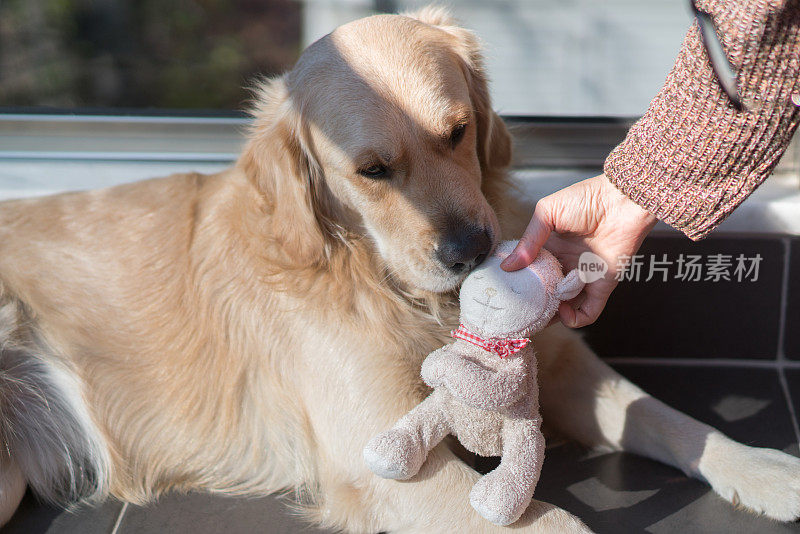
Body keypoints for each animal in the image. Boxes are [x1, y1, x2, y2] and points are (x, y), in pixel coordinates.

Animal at [1, 6, 800, 532]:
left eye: (459, 131)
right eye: (373, 171)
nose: (471, 251)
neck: (390, 283)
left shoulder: (561, 365)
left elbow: (670, 418)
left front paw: (767, 468)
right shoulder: (383, 460)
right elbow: (554, 521)